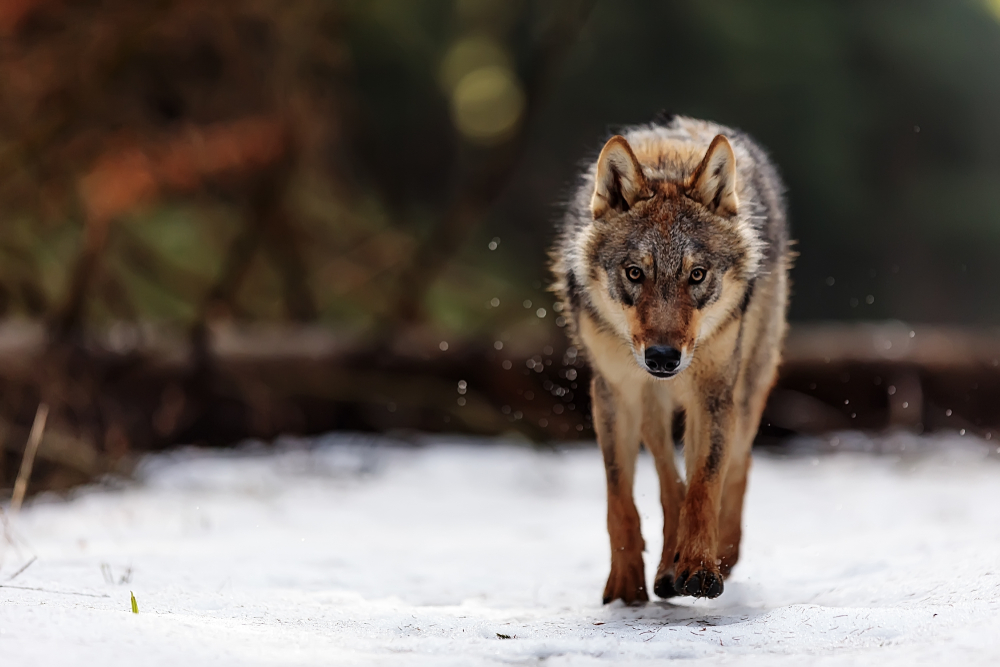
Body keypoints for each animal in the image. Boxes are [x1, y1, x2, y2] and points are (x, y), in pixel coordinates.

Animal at [548, 112, 788, 604]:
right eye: (634, 273)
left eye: (696, 275)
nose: (662, 358)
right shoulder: (615, 392)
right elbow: (622, 496)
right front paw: (626, 584)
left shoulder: (712, 392)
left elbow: (704, 485)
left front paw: (700, 567)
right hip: (648, 402)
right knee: (665, 473)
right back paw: (664, 569)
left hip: (747, 386)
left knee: (739, 462)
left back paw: (721, 554)